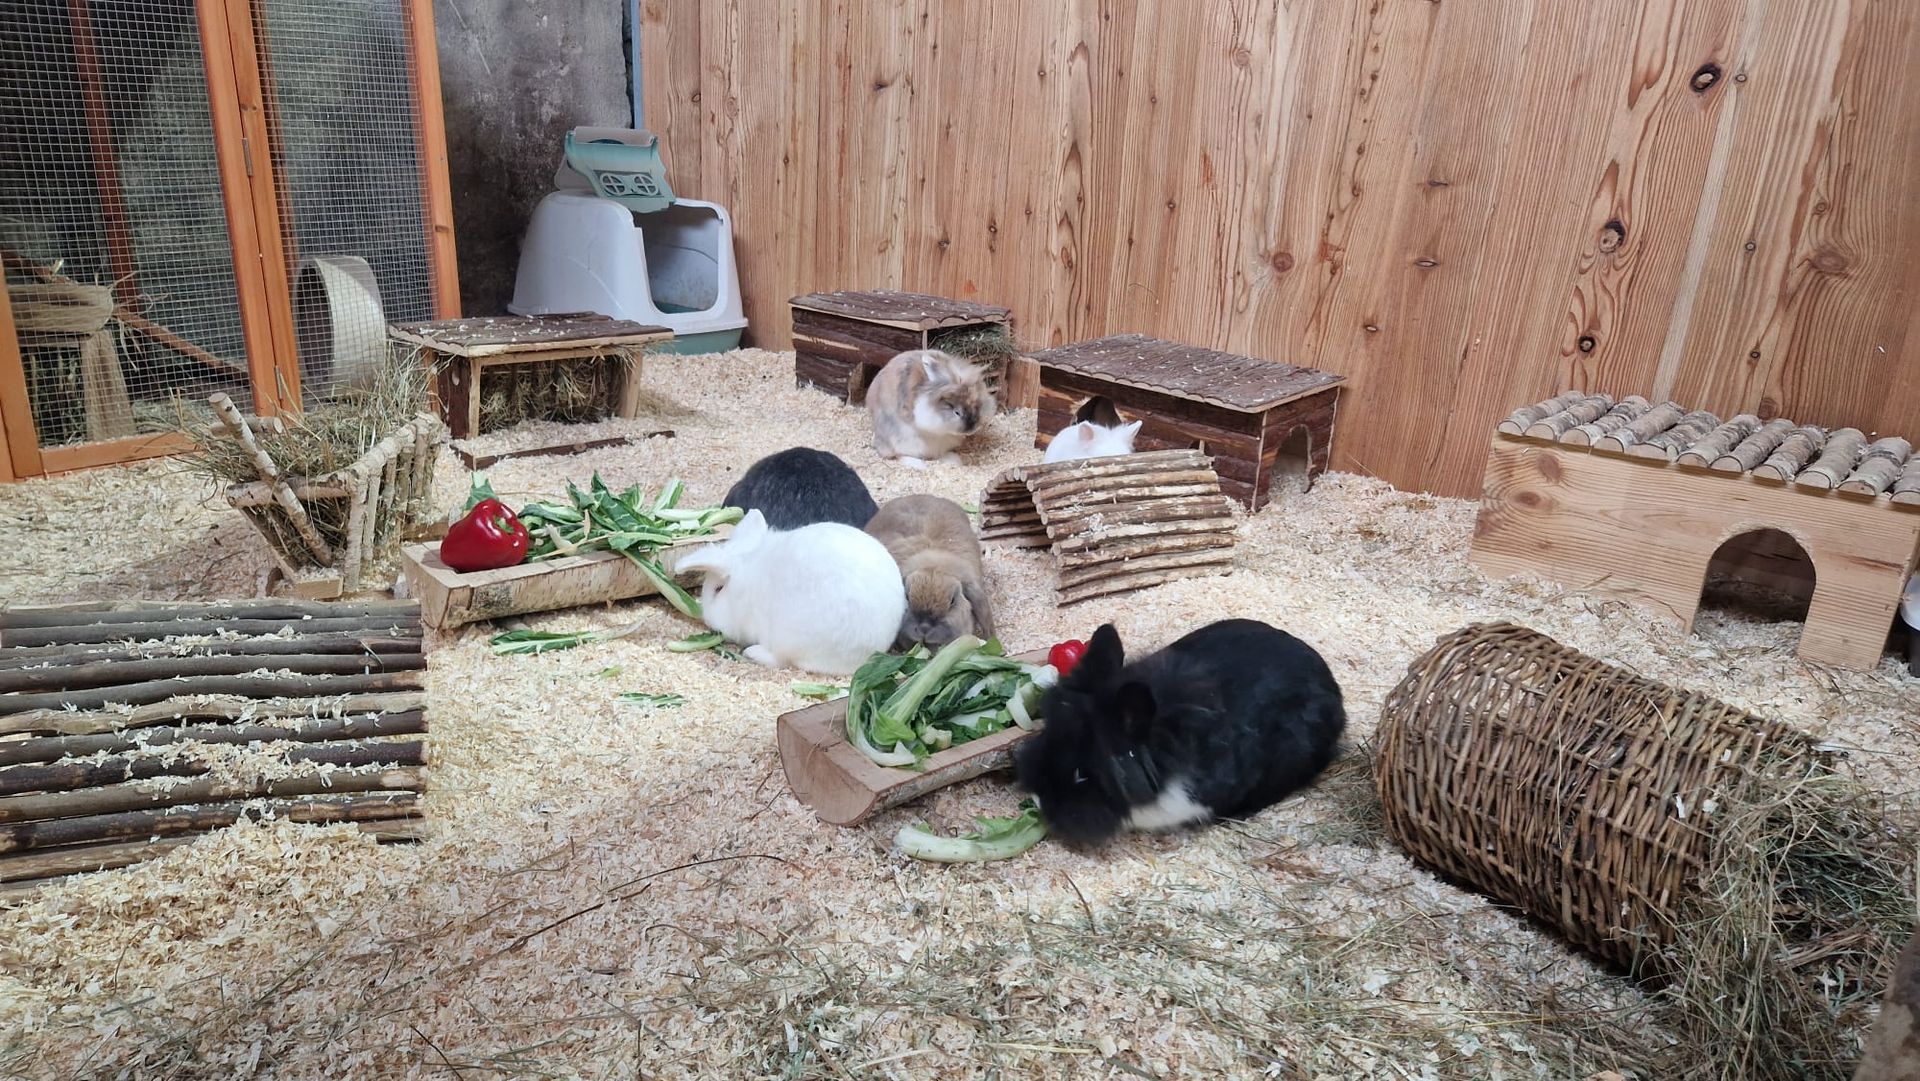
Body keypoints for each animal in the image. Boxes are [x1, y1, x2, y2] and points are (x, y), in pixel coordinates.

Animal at [867, 349, 997, 467]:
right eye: (957, 412)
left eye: (977, 405)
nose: (971, 428)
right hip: (900, 439)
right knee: (899, 453)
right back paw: (919, 465)